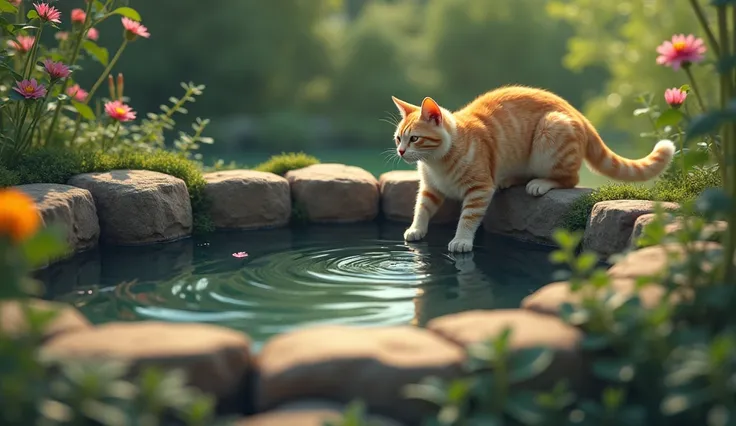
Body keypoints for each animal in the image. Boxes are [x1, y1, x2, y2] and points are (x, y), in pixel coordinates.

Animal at [394, 86, 676, 253]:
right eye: (398, 138)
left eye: (414, 139)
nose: (400, 151)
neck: (437, 162)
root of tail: (580, 115)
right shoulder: (429, 188)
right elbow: (422, 208)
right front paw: (416, 229)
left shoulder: (479, 190)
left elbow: (468, 218)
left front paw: (461, 240)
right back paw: (509, 179)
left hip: (550, 133)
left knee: (570, 178)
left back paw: (540, 183)